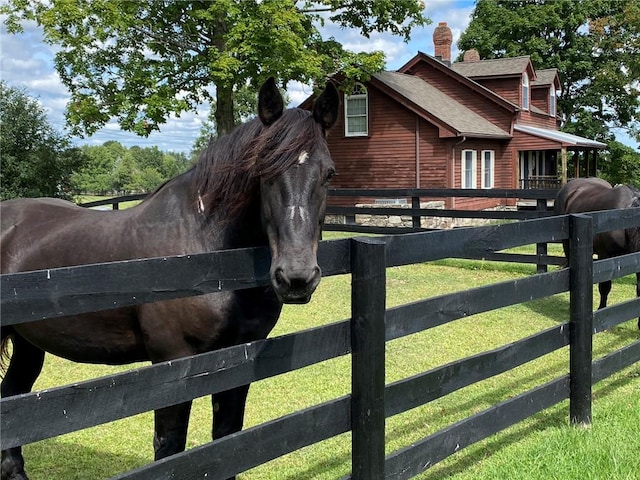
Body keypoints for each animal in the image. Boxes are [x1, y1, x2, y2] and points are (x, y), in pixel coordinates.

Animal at [0, 79, 340, 480]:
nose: (296, 277)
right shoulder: (172, 364)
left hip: (27, 342)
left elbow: (230, 440)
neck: (204, 251)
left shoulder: (239, 357)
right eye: (263, 170)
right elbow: (170, 447)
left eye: (329, 173)